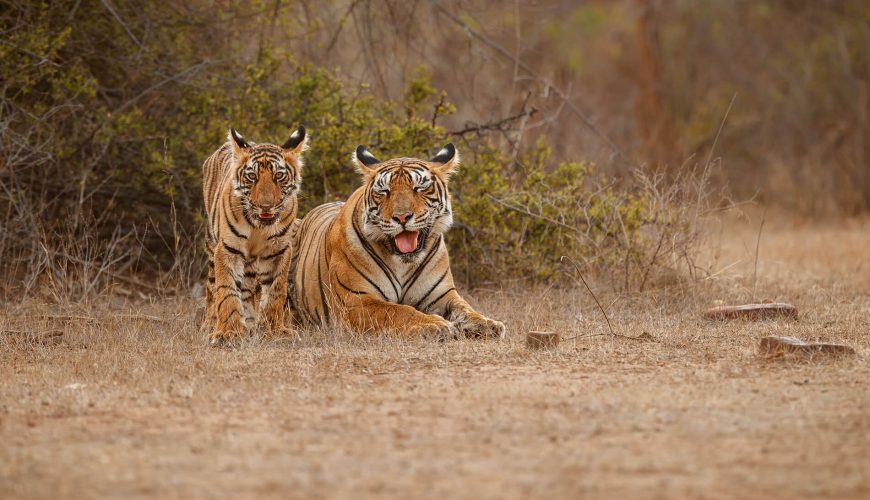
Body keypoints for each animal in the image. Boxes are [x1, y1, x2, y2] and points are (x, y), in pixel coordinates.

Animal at [201, 126, 310, 344]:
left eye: (279, 176)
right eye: (252, 177)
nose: (265, 206)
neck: (258, 226)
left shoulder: (279, 250)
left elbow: (275, 291)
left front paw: (274, 331)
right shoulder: (228, 249)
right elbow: (227, 290)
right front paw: (228, 333)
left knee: (247, 289)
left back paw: (250, 323)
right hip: (211, 246)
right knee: (211, 288)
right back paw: (210, 325)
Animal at [288, 142, 504, 340]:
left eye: (419, 188)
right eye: (384, 191)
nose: (401, 217)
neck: (403, 263)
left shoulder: (443, 295)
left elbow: (466, 309)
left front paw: (488, 324)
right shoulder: (356, 300)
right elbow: (398, 311)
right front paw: (435, 325)